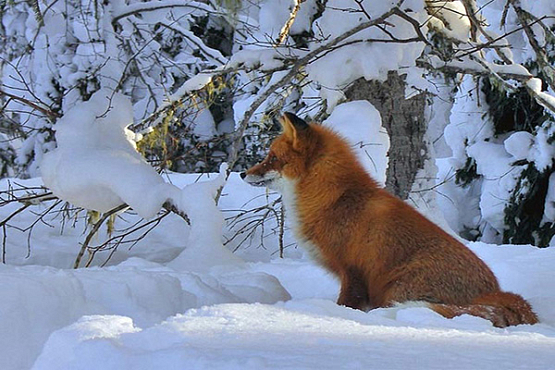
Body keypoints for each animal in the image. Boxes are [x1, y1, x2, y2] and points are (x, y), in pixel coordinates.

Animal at [240, 112, 540, 326]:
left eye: (272, 158)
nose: (243, 174)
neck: (334, 199)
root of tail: (496, 291)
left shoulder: (353, 272)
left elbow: (345, 304)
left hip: (396, 289)